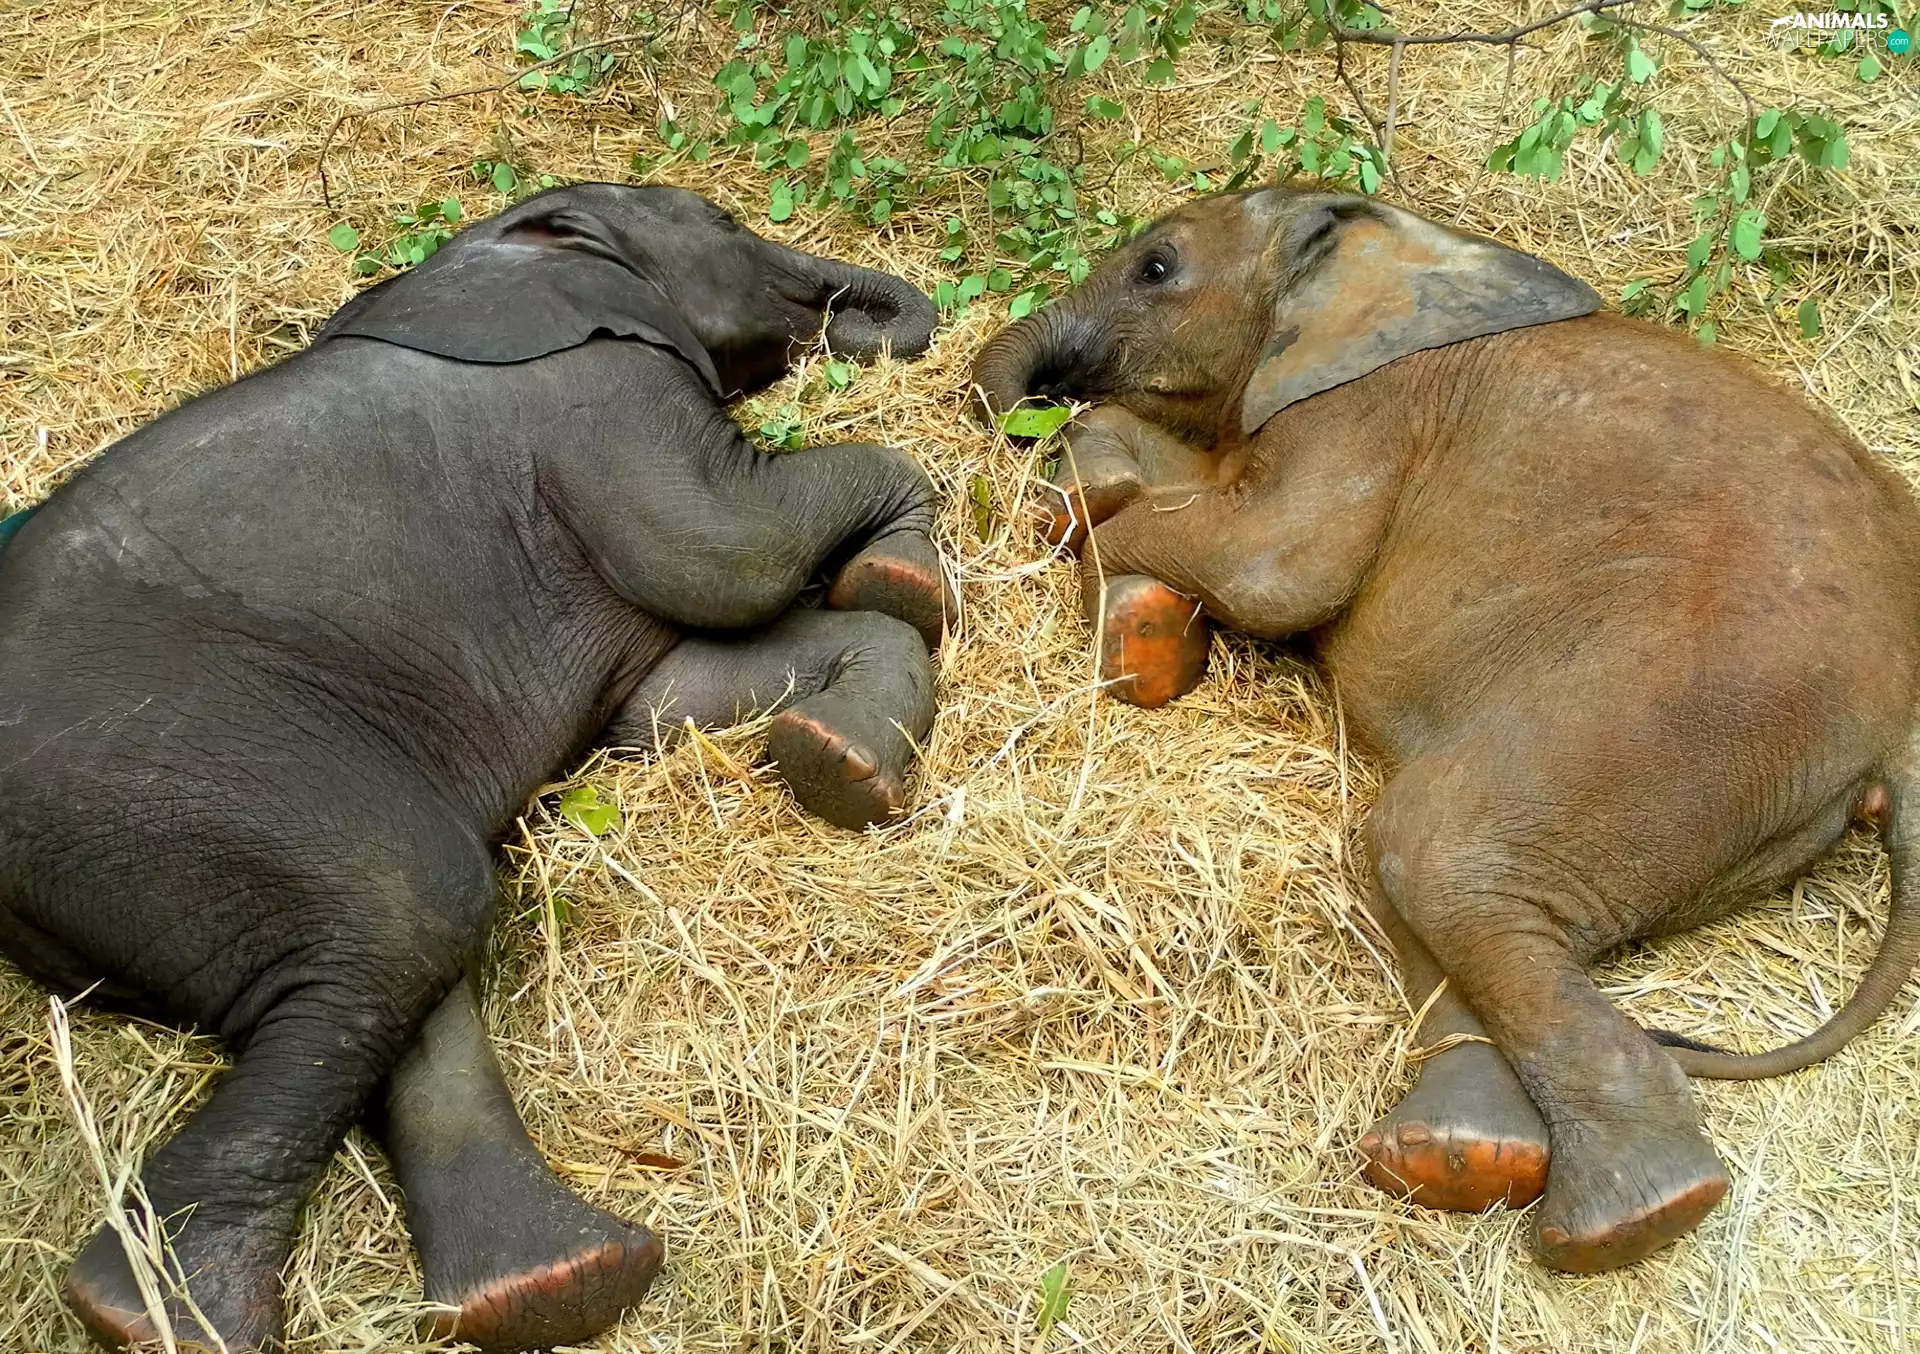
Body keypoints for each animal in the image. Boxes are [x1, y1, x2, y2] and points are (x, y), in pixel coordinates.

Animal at [0, 182, 949, 1351]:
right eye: (722, 219)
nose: (858, 314)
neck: (486, 258)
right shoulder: (597, 400)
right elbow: (726, 552)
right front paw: (904, 577)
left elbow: (667, 694)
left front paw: (831, 754)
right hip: (155, 772)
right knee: (412, 902)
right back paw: (162, 1315)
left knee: (371, 965)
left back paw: (551, 1286)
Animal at [971, 185, 1920, 1272]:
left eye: (1158, 268)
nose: (1030, 401)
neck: (1388, 239)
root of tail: (1898, 738)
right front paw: (1116, 544)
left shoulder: (1368, 408)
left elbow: (1274, 566)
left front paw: (1080, 526)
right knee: (1430, 876)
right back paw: (1460, 1160)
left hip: (1693, 712)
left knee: (1429, 846)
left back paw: (1626, 1222)